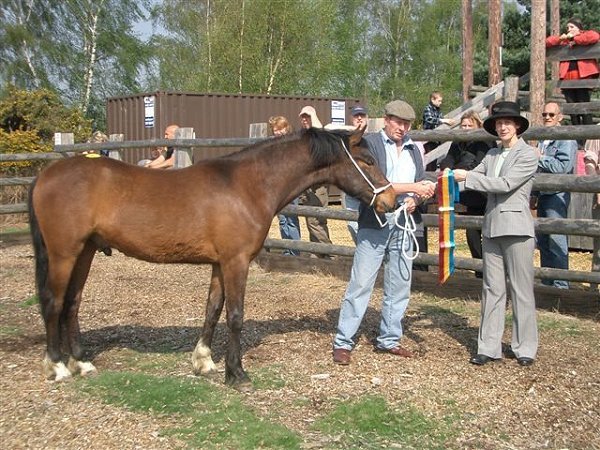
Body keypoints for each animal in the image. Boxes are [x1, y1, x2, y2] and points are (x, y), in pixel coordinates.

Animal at [28, 125, 396, 390]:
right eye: (368, 161)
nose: (391, 200)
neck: (247, 185)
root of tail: (47, 174)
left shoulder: (220, 264)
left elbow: (212, 310)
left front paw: (204, 362)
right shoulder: (236, 261)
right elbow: (234, 316)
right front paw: (237, 374)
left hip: (85, 251)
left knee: (72, 303)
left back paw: (81, 362)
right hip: (64, 253)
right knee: (54, 303)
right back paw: (57, 366)